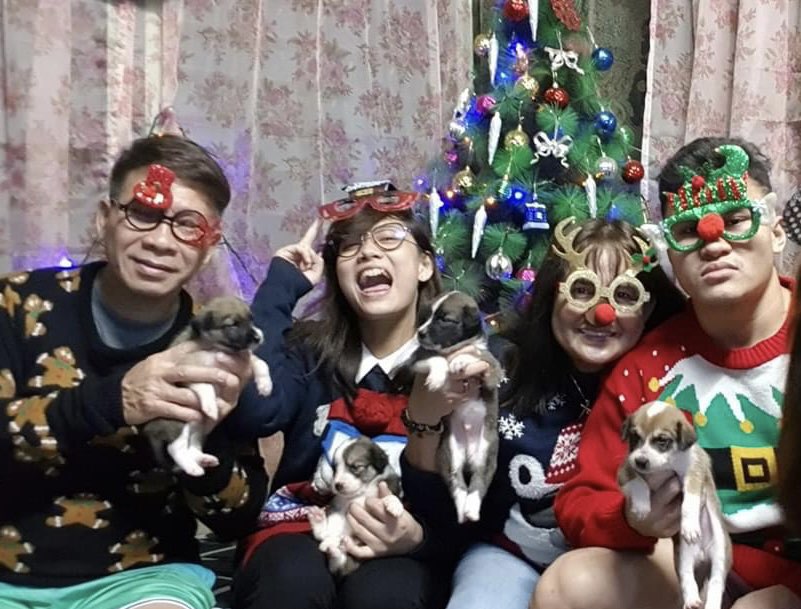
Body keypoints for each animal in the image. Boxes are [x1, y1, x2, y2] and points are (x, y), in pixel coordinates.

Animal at [141, 296, 272, 478]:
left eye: (251, 319)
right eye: (232, 324)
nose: (258, 337)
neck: (214, 346)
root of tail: (149, 430)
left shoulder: (243, 358)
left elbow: (261, 363)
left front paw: (266, 385)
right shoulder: (188, 369)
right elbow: (206, 385)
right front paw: (211, 407)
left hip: (198, 427)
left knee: (192, 447)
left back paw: (203, 460)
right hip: (178, 422)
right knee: (175, 448)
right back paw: (193, 468)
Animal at [310, 436, 404, 576]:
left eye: (356, 466)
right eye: (335, 469)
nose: (337, 485)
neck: (363, 491)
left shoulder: (390, 488)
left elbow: (392, 496)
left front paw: (395, 506)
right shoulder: (338, 505)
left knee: (341, 561)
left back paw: (332, 548)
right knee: (327, 539)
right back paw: (318, 521)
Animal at [410, 290, 504, 524]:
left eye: (444, 319)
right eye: (428, 315)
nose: (419, 334)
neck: (455, 347)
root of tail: (469, 455)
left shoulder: (493, 370)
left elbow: (477, 357)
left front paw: (461, 361)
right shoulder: (417, 362)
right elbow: (436, 358)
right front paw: (438, 377)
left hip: (487, 453)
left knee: (479, 481)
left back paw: (472, 509)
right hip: (449, 453)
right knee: (457, 483)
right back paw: (463, 510)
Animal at [620, 400, 732, 608]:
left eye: (662, 441)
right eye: (634, 436)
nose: (641, 461)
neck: (666, 465)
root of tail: (701, 554)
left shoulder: (694, 472)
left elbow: (689, 502)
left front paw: (689, 527)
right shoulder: (624, 471)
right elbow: (638, 481)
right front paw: (641, 506)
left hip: (720, 554)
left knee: (715, 583)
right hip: (683, 558)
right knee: (688, 577)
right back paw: (691, 600)